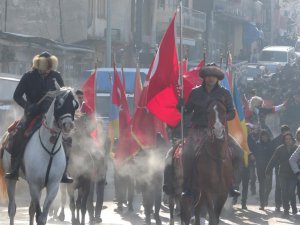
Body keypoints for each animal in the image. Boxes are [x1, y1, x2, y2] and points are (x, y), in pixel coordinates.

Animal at [0, 87, 78, 225]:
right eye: (59, 103)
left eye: (75, 105)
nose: (68, 125)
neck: (49, 148)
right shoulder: (34, 185)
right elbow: (38, 214)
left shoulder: (53, 186)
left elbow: (41, 216)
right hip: (10, 179)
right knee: (12, 209)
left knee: (30, 210)